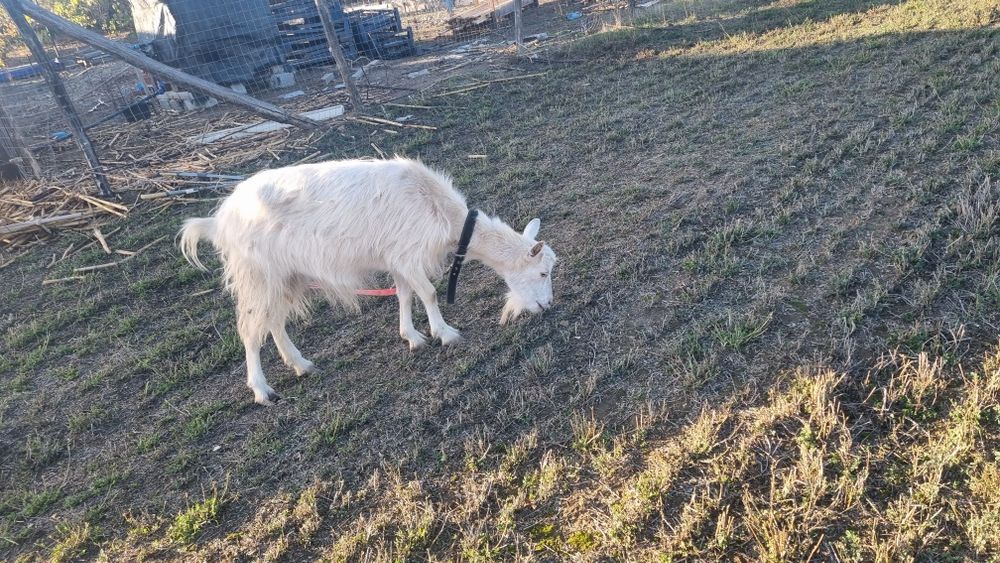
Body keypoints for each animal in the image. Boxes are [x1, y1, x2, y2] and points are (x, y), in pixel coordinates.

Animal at [179, 157, 557, 405]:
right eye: (542, 273)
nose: (548, 305)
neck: (443, 213)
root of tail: (218, 221)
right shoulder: (407, 254)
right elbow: (429, 294)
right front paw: (446, 334)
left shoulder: (397, 258)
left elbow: (405, 295)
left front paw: (412, 337)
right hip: (256, 273)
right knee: (249, 328)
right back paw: (261, 390)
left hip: (284, 275)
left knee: (273, 321)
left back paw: (301, 365)